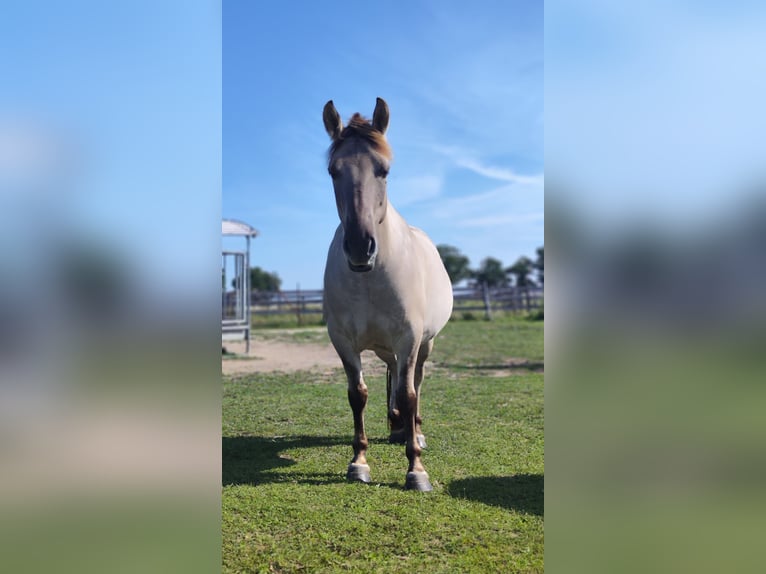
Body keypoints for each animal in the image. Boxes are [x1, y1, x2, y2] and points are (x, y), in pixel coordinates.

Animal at [320, 97, 452, 492]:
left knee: (416, 383)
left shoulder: (410, 338)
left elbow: (409, 394)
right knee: (394, 374)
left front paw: (416, 469)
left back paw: (414, 431)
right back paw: (396, 426)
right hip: (386, 346)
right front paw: (358, 462)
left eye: (384, 170)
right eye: (333, 171)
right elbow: (358, 394)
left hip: (425, 344)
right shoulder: (342, 340)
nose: (360, 247)